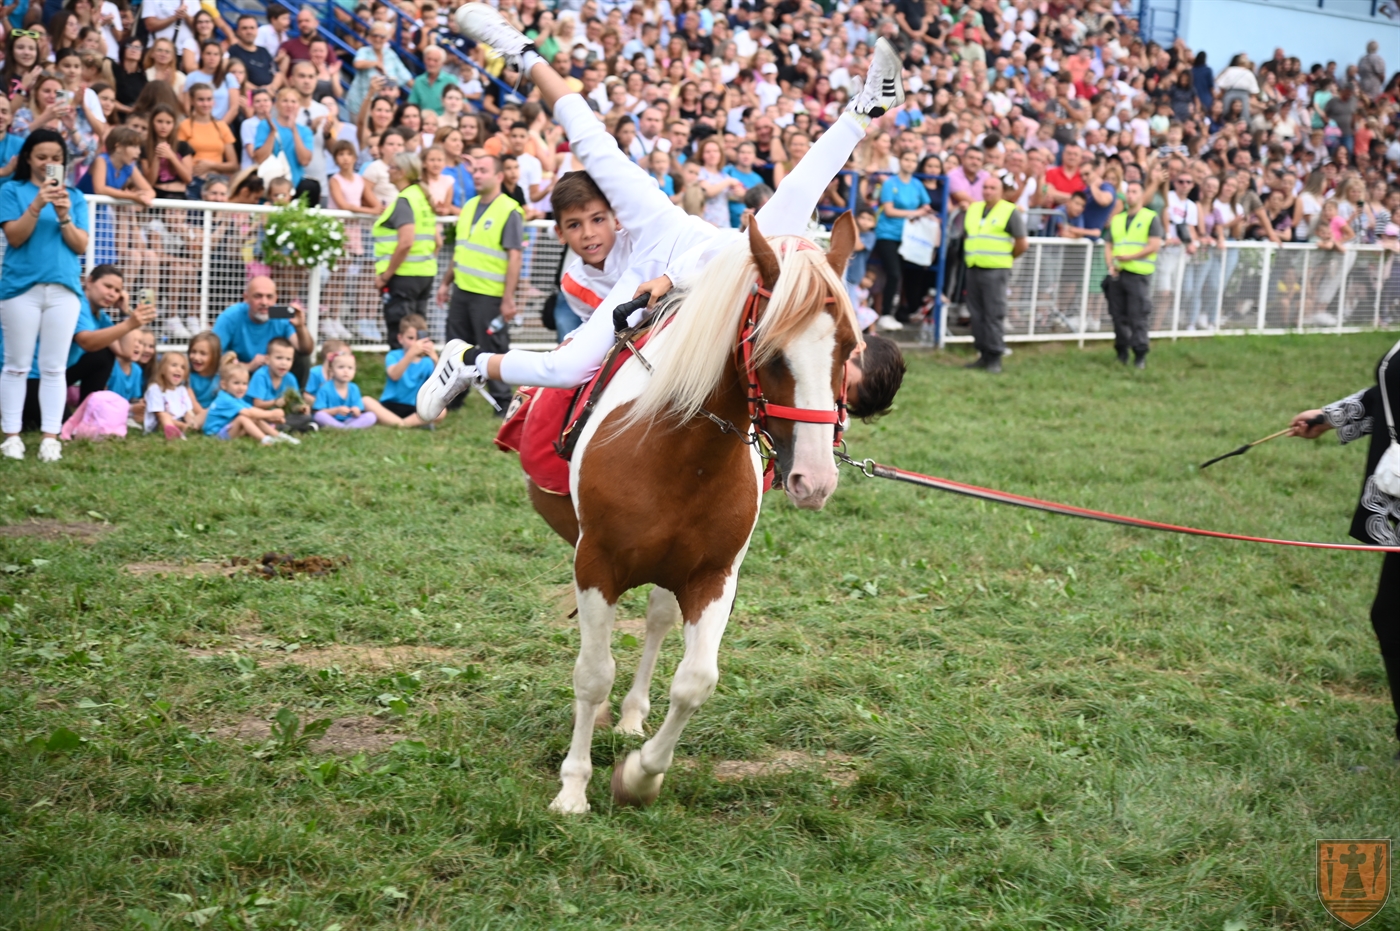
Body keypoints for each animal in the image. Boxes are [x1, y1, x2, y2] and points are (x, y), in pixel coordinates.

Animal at [527, 214, 860, 813]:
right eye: (770, 351)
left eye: (847, 346)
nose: (815, 479)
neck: (679, 450)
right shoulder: (595, 564)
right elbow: (592, 675)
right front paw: (573, 789)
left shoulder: (714, 576)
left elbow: (696, 680)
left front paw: (640, 776)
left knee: (658, 621)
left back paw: (631, 717)